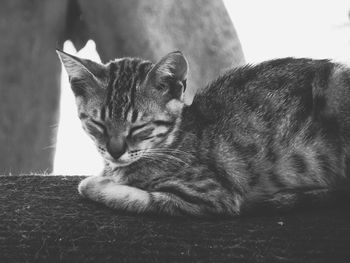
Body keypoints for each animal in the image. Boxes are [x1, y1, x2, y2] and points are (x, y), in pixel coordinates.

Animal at [56, 50, 350, 219]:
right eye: (98, 124)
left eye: (139, 127)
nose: (115, 151)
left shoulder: (210, 195)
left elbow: (135, 197)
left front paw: (95, 183)